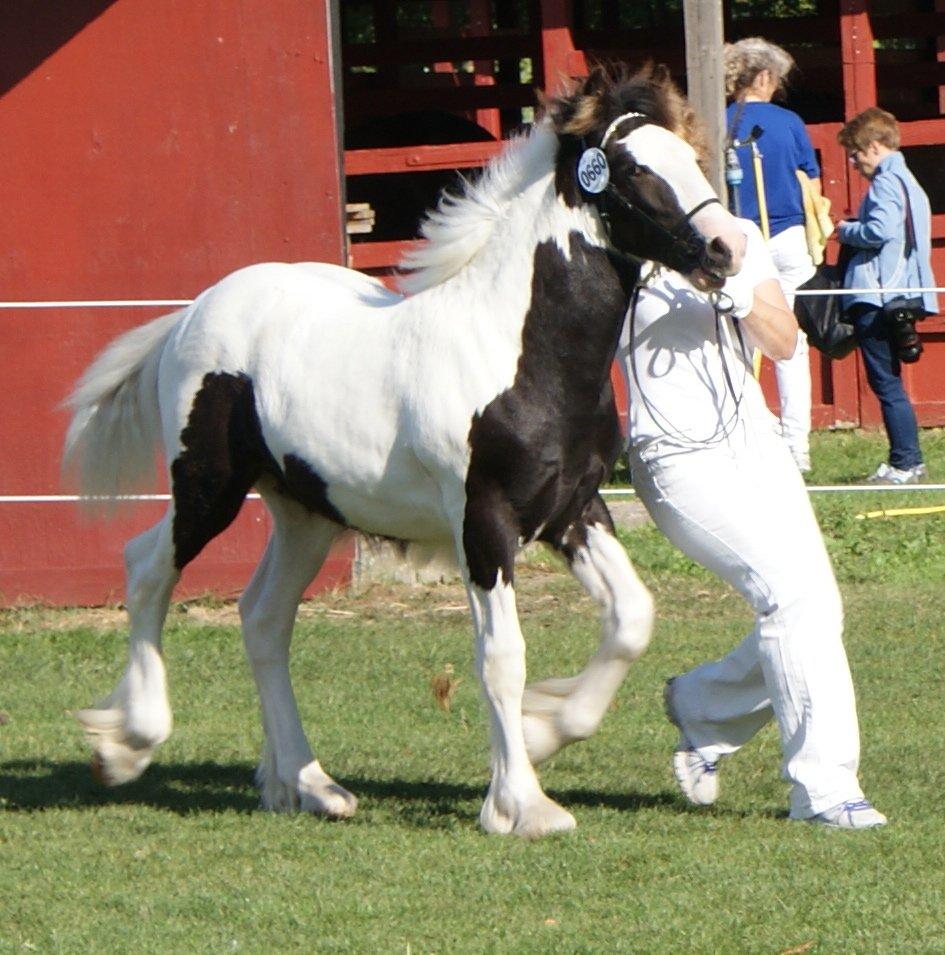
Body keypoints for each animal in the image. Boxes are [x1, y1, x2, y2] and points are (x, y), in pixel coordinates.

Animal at [64, 67, 744, 836]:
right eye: (632, 169)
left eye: (689, 157)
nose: (726, 249)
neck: (516, 351)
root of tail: (191, 313)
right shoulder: (484, 522)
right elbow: (501, 656)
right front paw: (521, 804)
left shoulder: (571, 506)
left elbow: (631, 617)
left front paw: (543, 729)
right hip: (208, 487)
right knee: (149, 567)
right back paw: (127, 745)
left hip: (306, 511)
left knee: (264, 617)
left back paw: (307, 785)